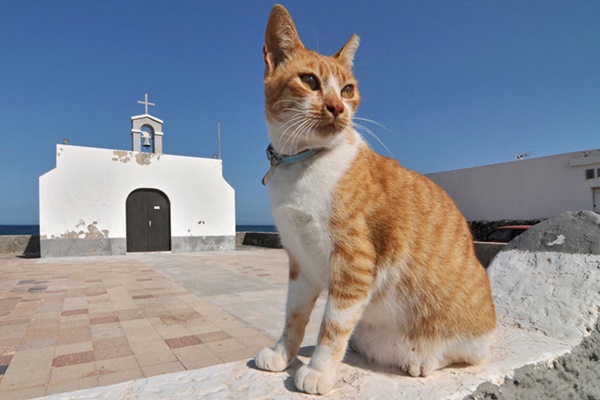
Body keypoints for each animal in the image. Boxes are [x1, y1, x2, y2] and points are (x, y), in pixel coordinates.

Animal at [255, 4, 494, 396]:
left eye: (347, 89)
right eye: (310, 81)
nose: (337, 107)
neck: (303, 163)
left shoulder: (355, 262)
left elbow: (332, 326)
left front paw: (318, 370)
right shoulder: (300, 261)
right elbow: (294, 316)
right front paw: (281, 354)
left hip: (464, 324)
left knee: (467, 351)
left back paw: (422, 358)